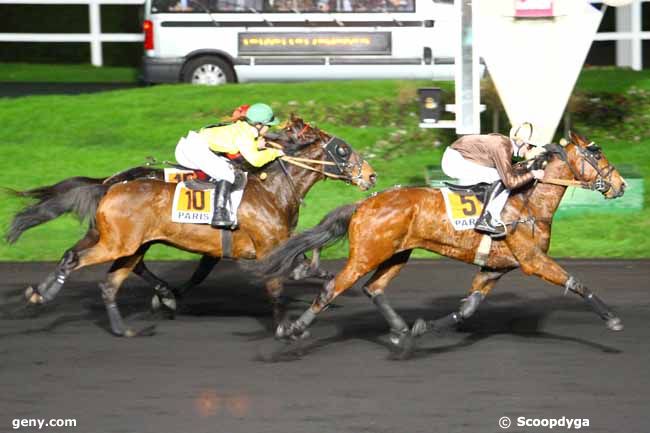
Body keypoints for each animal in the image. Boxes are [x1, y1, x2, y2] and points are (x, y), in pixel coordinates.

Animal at [7, 116, 374, 336]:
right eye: (344, 150)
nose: (371, 176)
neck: (271, 189)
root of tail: (111, 184)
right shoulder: (266, 248)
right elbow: (274, 283)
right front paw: (285, 327)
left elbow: (305, 262)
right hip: (119, 243)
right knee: (77, 259)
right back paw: (46, 293)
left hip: (122, 241)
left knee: (105, 275)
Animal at [249, 131, 628, 352]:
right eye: (596, 153)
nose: (621, 185)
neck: (530, 204)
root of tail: (364, 202)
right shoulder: (533, 261)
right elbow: (576, 282)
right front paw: (612, 319)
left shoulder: (494, 268)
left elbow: (467, 309)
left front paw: (421, 328)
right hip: (365, 256)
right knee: (333, 289)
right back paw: (294, 329)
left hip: (396, 254)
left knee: (374, 288)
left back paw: (400, 329)